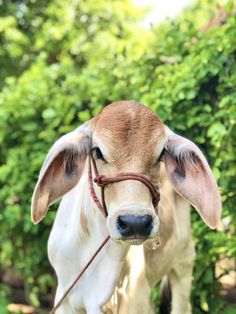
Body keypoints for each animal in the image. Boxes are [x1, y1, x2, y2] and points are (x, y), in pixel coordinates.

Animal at [31, 101, 221, 314]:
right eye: (97, 151)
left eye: (162, 153)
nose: (135, 222)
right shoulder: (66, 299)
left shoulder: (135, 296)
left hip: (184, 262)